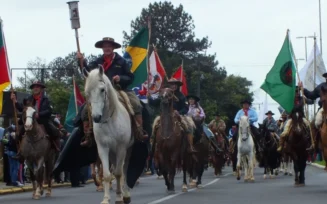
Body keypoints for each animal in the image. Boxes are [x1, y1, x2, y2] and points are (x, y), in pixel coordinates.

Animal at [84, 65, 134, 204]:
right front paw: (106, 199)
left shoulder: (121, 148)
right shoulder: (103, 148)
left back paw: (125, 194)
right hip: (112, 152)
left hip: (127, 150)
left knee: (124, 169)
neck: (109, 120)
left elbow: (118, 173)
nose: (96, 117)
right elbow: (107, 175)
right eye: (87, 93)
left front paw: (119, 198)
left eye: (102, 90)